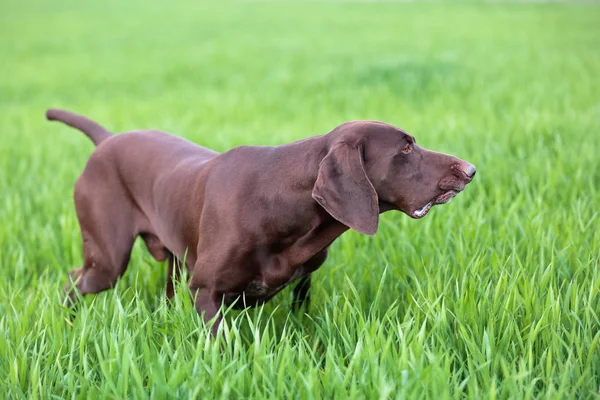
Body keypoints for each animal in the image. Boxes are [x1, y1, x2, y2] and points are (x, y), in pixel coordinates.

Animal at [47, 108, 476, 332]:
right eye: (405, 149)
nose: (470, 170)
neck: (282, 205)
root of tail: (107, 141)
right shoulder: (206, 293)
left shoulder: (304, 281)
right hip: (107, 260)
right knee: (73, 281)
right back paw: (66, 322)